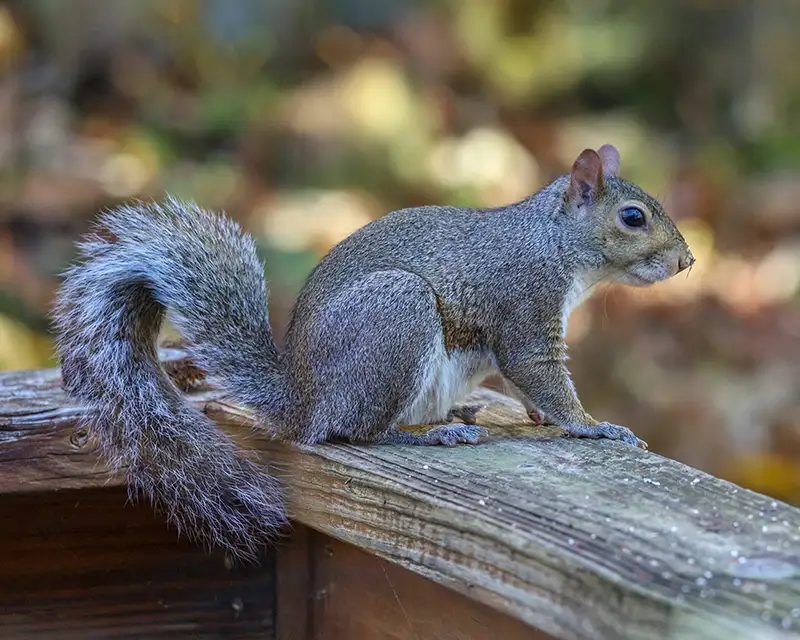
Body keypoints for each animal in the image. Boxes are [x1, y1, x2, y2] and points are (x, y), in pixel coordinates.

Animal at [54, 144, 692, 560]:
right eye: (632, 217)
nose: (687, 262)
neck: (553, 243)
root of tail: (302, 400)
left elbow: (526, 386)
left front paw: (541, 417)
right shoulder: (524, 307)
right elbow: (539, 374)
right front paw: (593, 425)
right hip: (396, 317)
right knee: (357, 430)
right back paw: (431, 433)